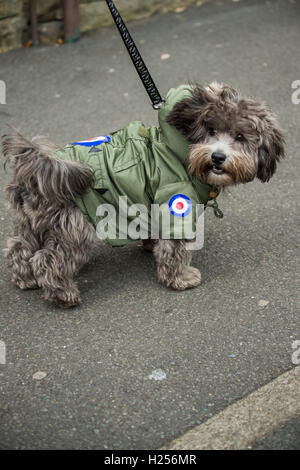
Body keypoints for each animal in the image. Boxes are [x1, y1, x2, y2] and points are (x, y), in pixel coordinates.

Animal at [1, 82, 284, 306]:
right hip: (74, 226)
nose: (217, 157)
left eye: (240, 136)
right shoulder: (176, 203)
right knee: (48, 260)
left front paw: (150, 246)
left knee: (18, 247)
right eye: (211, 131)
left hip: (31, 222)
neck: (179, 152)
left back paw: (25, 279)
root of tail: (39, 164)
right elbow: (175, 249)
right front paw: (180, 278)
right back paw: (63, 295)